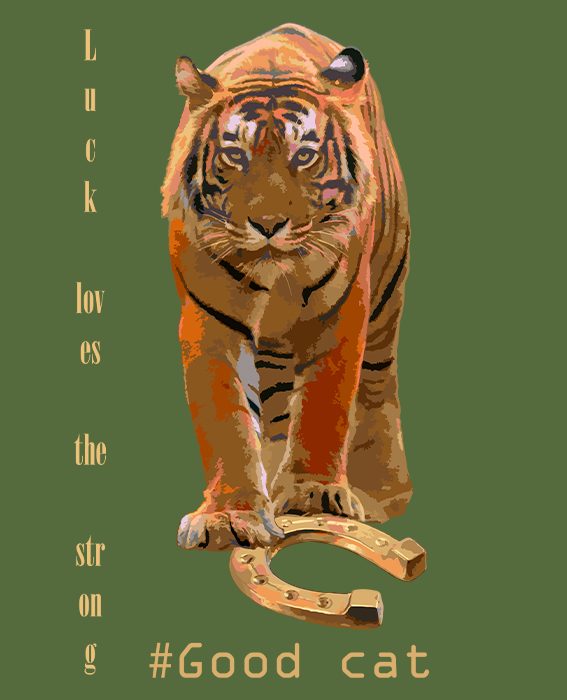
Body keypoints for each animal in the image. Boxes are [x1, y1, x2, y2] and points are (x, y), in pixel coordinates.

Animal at [162, 23, 413, 551]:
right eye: (235, 155)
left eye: (305, 156)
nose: (268, 224)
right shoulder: (207, 320)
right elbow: (224, 418)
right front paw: (230, 516)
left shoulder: (343, 311)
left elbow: (324, 405)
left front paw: (315, 495)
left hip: (387, 290)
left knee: (377, 384)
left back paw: (382, 493)